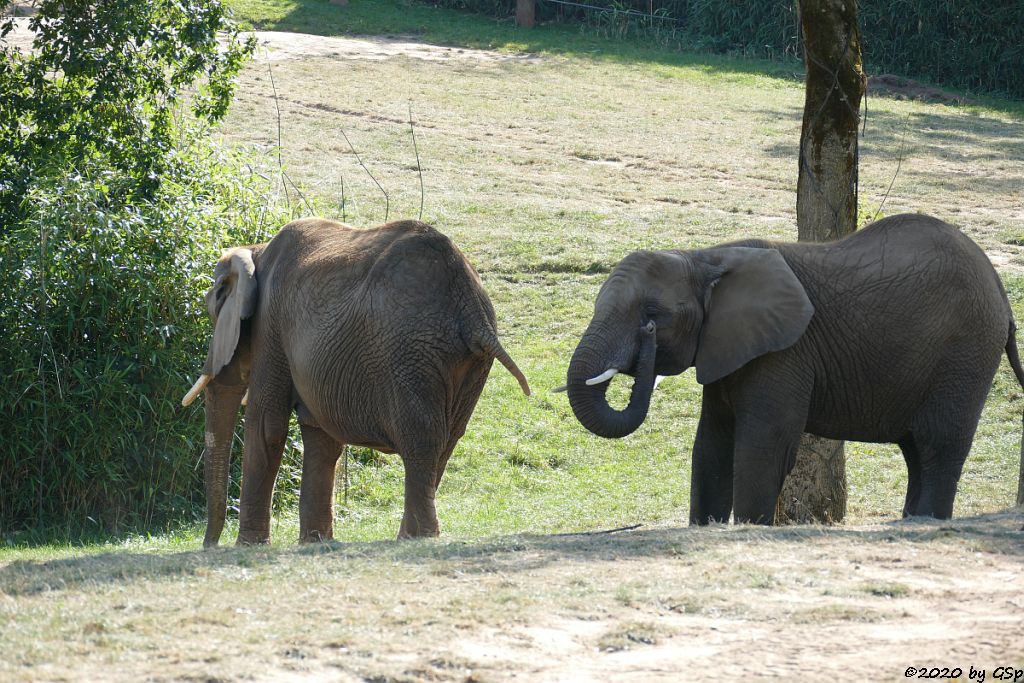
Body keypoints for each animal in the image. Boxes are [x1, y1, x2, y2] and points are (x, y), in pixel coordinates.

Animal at [184, 220, 532, 548]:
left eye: (213, 309)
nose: (209, 545)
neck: (256, 251)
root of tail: (471, 311)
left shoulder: (271, 323)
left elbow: (267, 426)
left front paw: (249, 545)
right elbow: (320, 436)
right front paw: (316, 542)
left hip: (409, 352)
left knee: (421, 436)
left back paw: (417, 538)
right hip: (468, 363)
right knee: (448, 438)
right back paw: (410, 535)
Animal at [565, 216, 1024, 528]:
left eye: (651, 315)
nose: (646, 341)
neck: (703, 258)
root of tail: (1000, 292)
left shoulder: (785, 351)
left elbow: (762, 445)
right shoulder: (728, 346)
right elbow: (712, 443)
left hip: (965, 354)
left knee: (938, 446)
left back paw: (925, 523)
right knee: (917, 453)